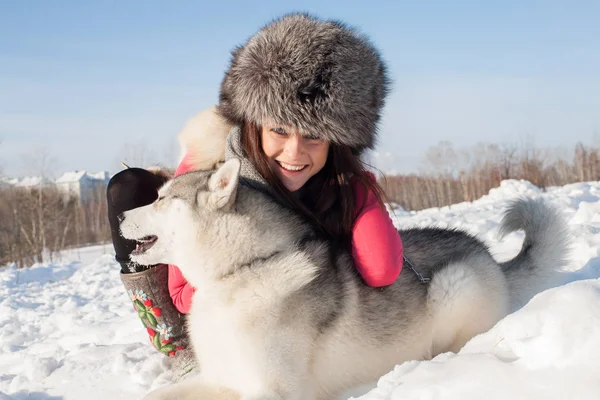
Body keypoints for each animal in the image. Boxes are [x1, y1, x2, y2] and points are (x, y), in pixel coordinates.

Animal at [120, 158, 568, 398]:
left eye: (162, 199)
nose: (121, 215)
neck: (245, 270)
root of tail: (487, 254)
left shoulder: (274, 388)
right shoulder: (222, 379)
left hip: (453, 285)